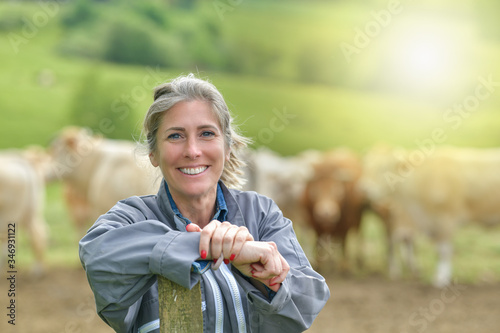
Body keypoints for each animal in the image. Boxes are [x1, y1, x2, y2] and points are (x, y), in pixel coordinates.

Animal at [362, 146, 500, 288]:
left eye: (383, 169)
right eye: (367, 167)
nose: (365, 189)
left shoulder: (446, 221)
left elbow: (443, 252)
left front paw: (441, 279)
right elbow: (438, 250)